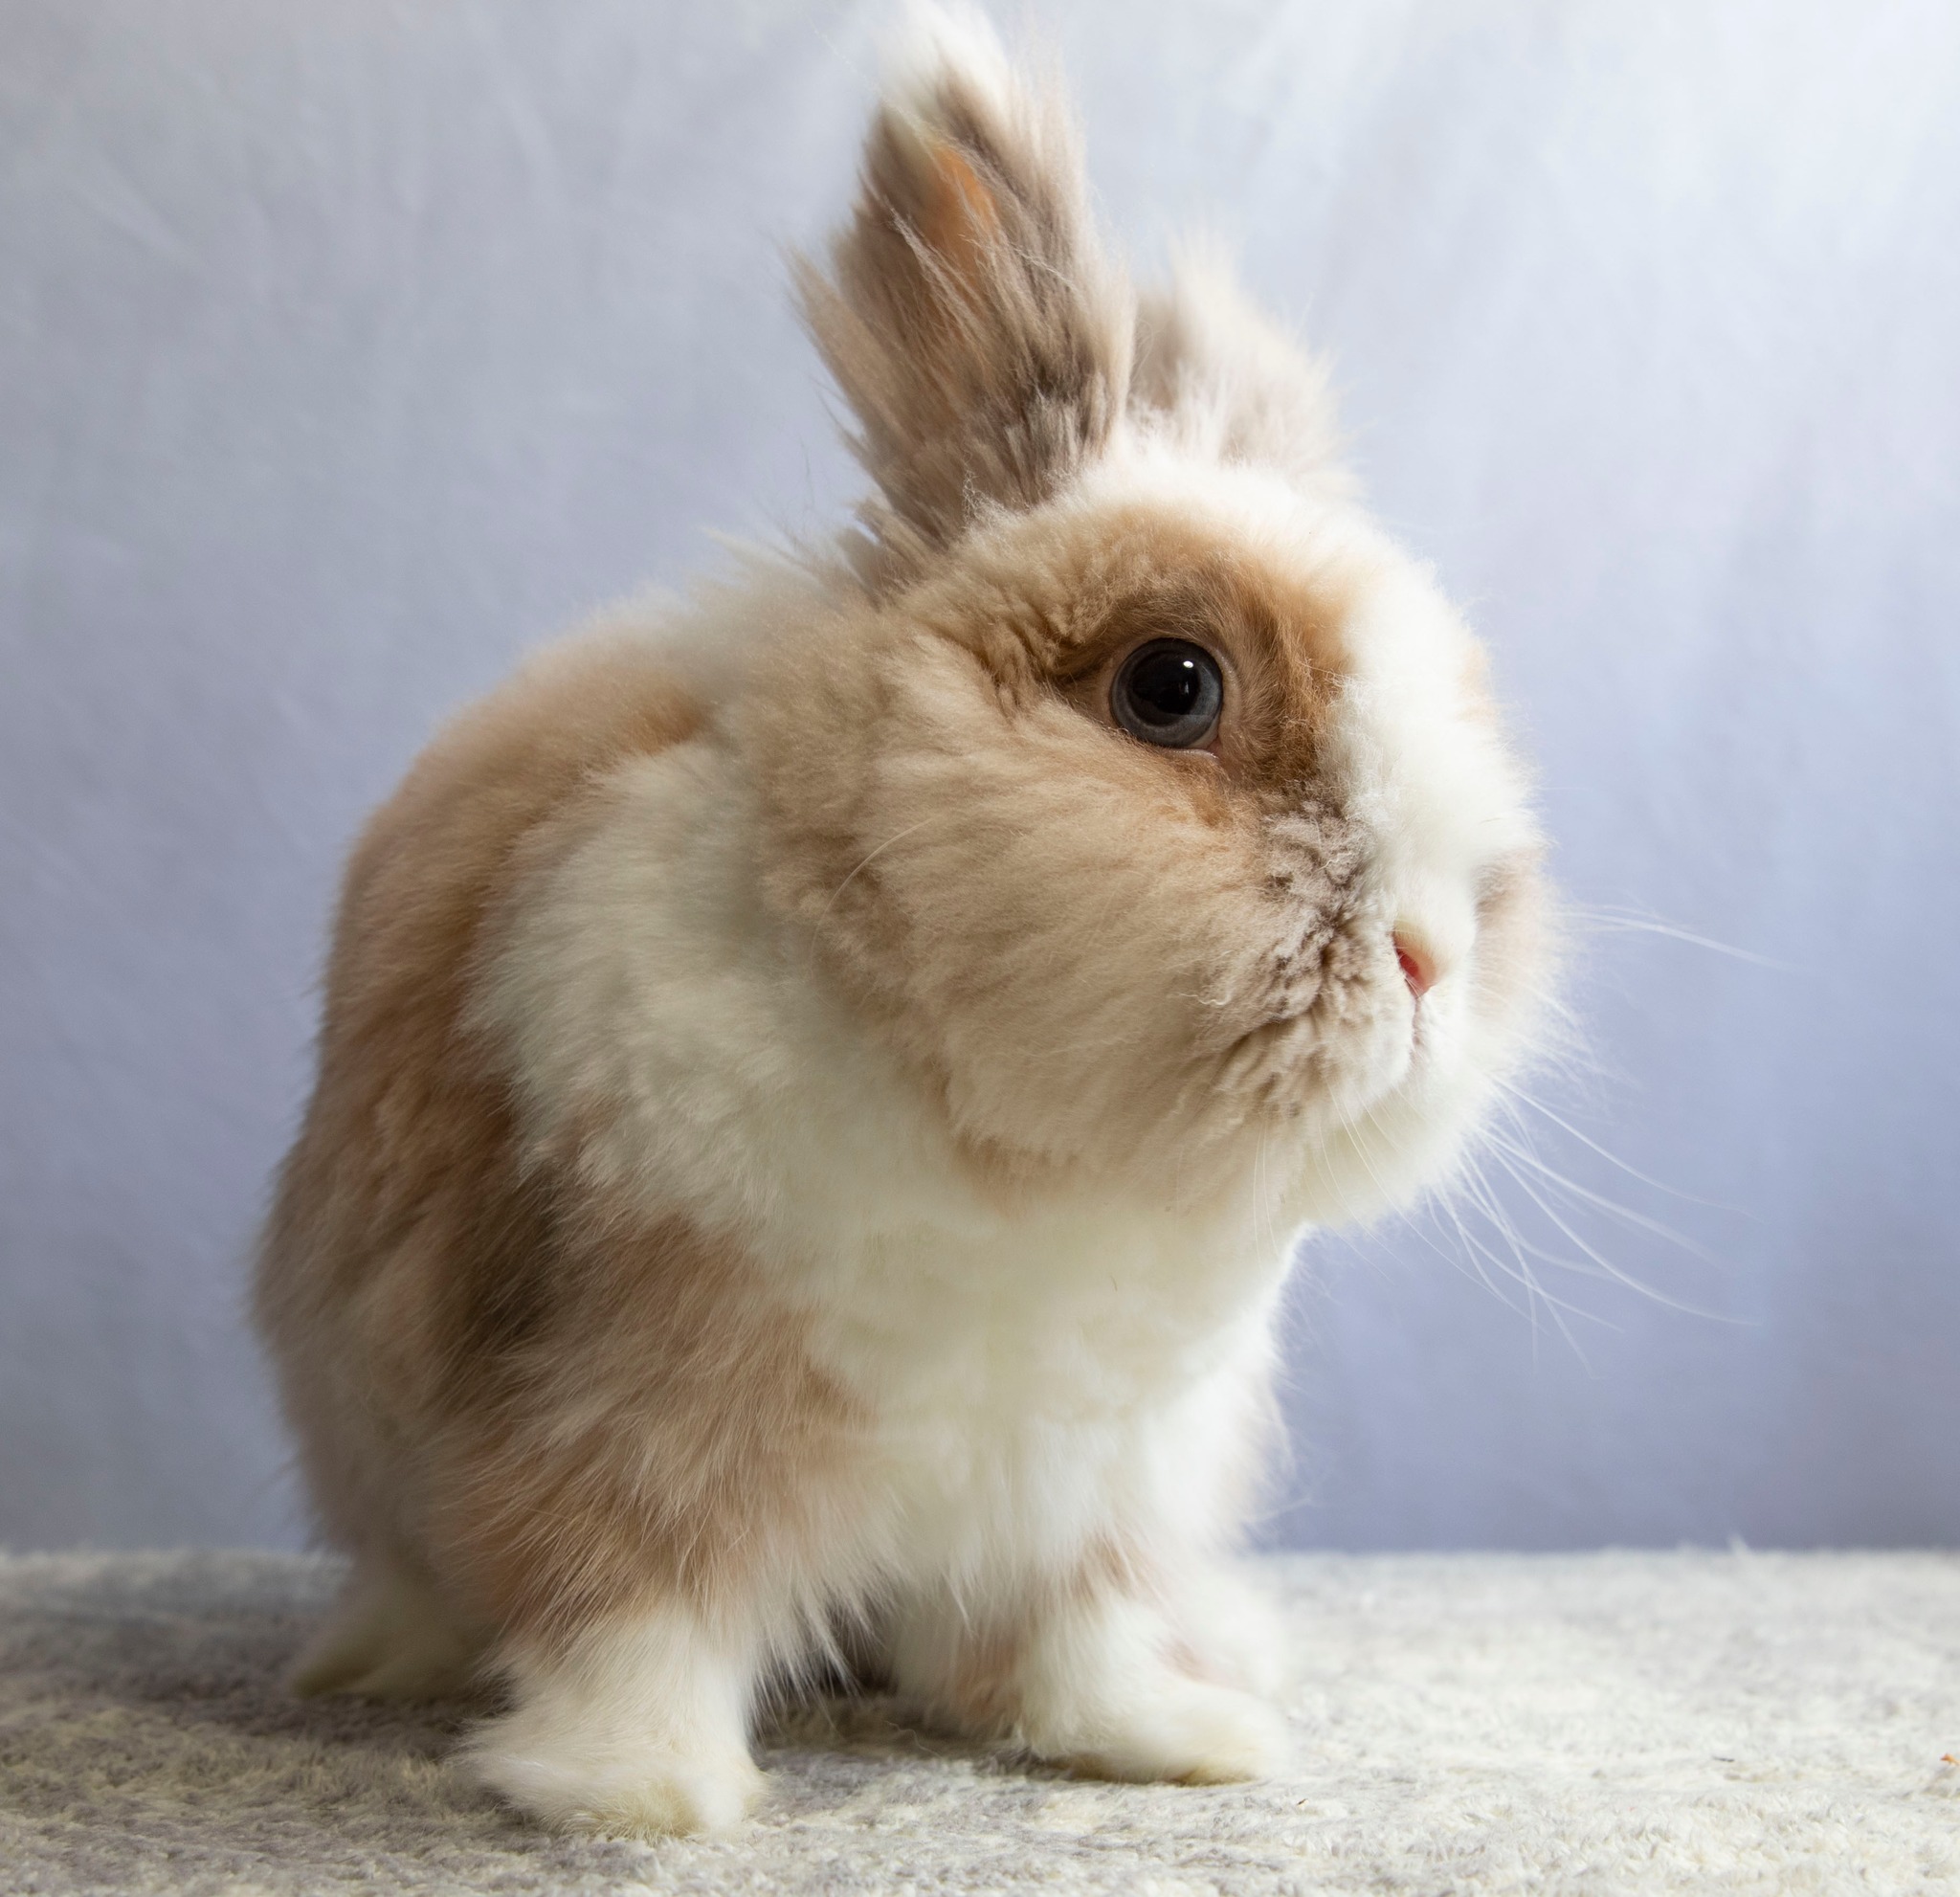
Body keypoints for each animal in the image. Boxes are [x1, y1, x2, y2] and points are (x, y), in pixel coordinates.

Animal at [253, 4, 1549, 1840]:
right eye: (1171, 686)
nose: (1440, 950)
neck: (1011, 1150)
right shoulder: (624, 1399)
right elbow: (625, 1601)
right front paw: (641, 1794)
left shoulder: (1091, 1483)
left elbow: (1072, 1635)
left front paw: (1172, 1737)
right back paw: (383, 1657)